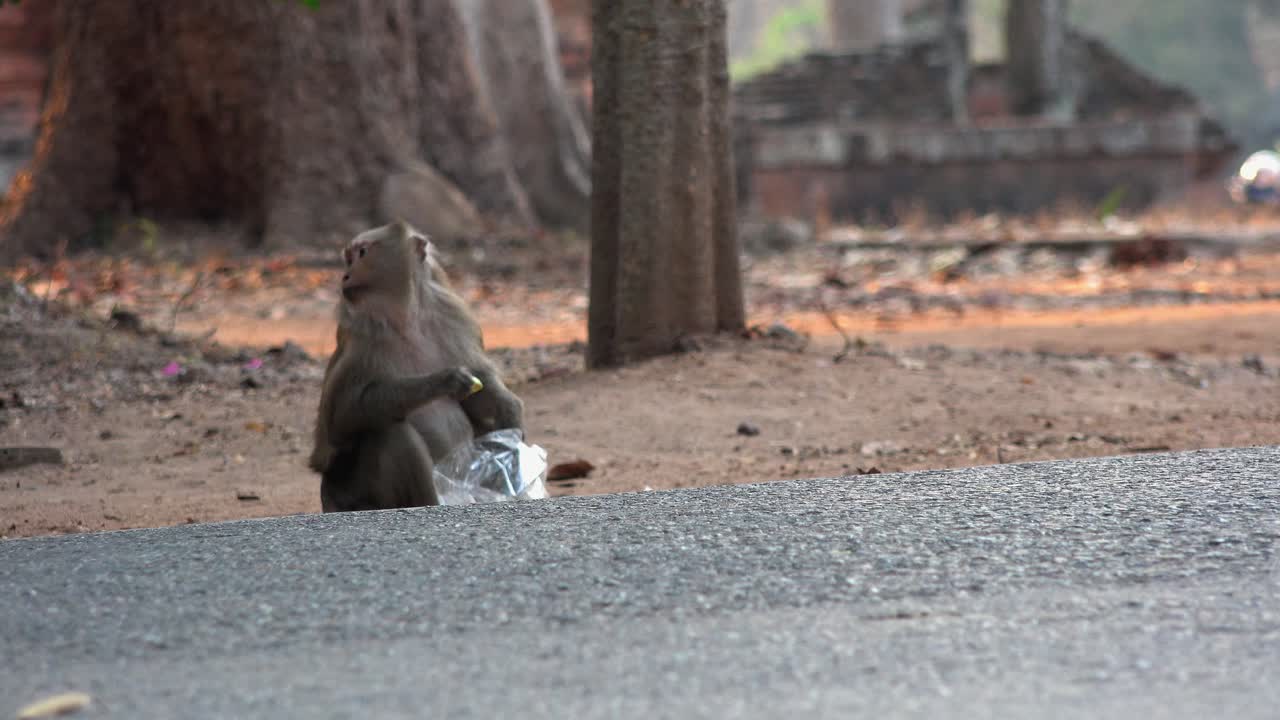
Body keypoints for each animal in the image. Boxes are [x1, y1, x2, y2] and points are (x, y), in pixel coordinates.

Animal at [309, 221, 525, 512]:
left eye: (362, 253)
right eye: (349, 258)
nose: (345, 276)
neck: (406, 317)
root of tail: (329, 497)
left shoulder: (452, 315)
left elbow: (484, 385)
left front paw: (510, 425)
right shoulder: (362, 335)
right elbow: (341, 416)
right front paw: (445, 380)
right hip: (353, 491)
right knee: (392, 434)